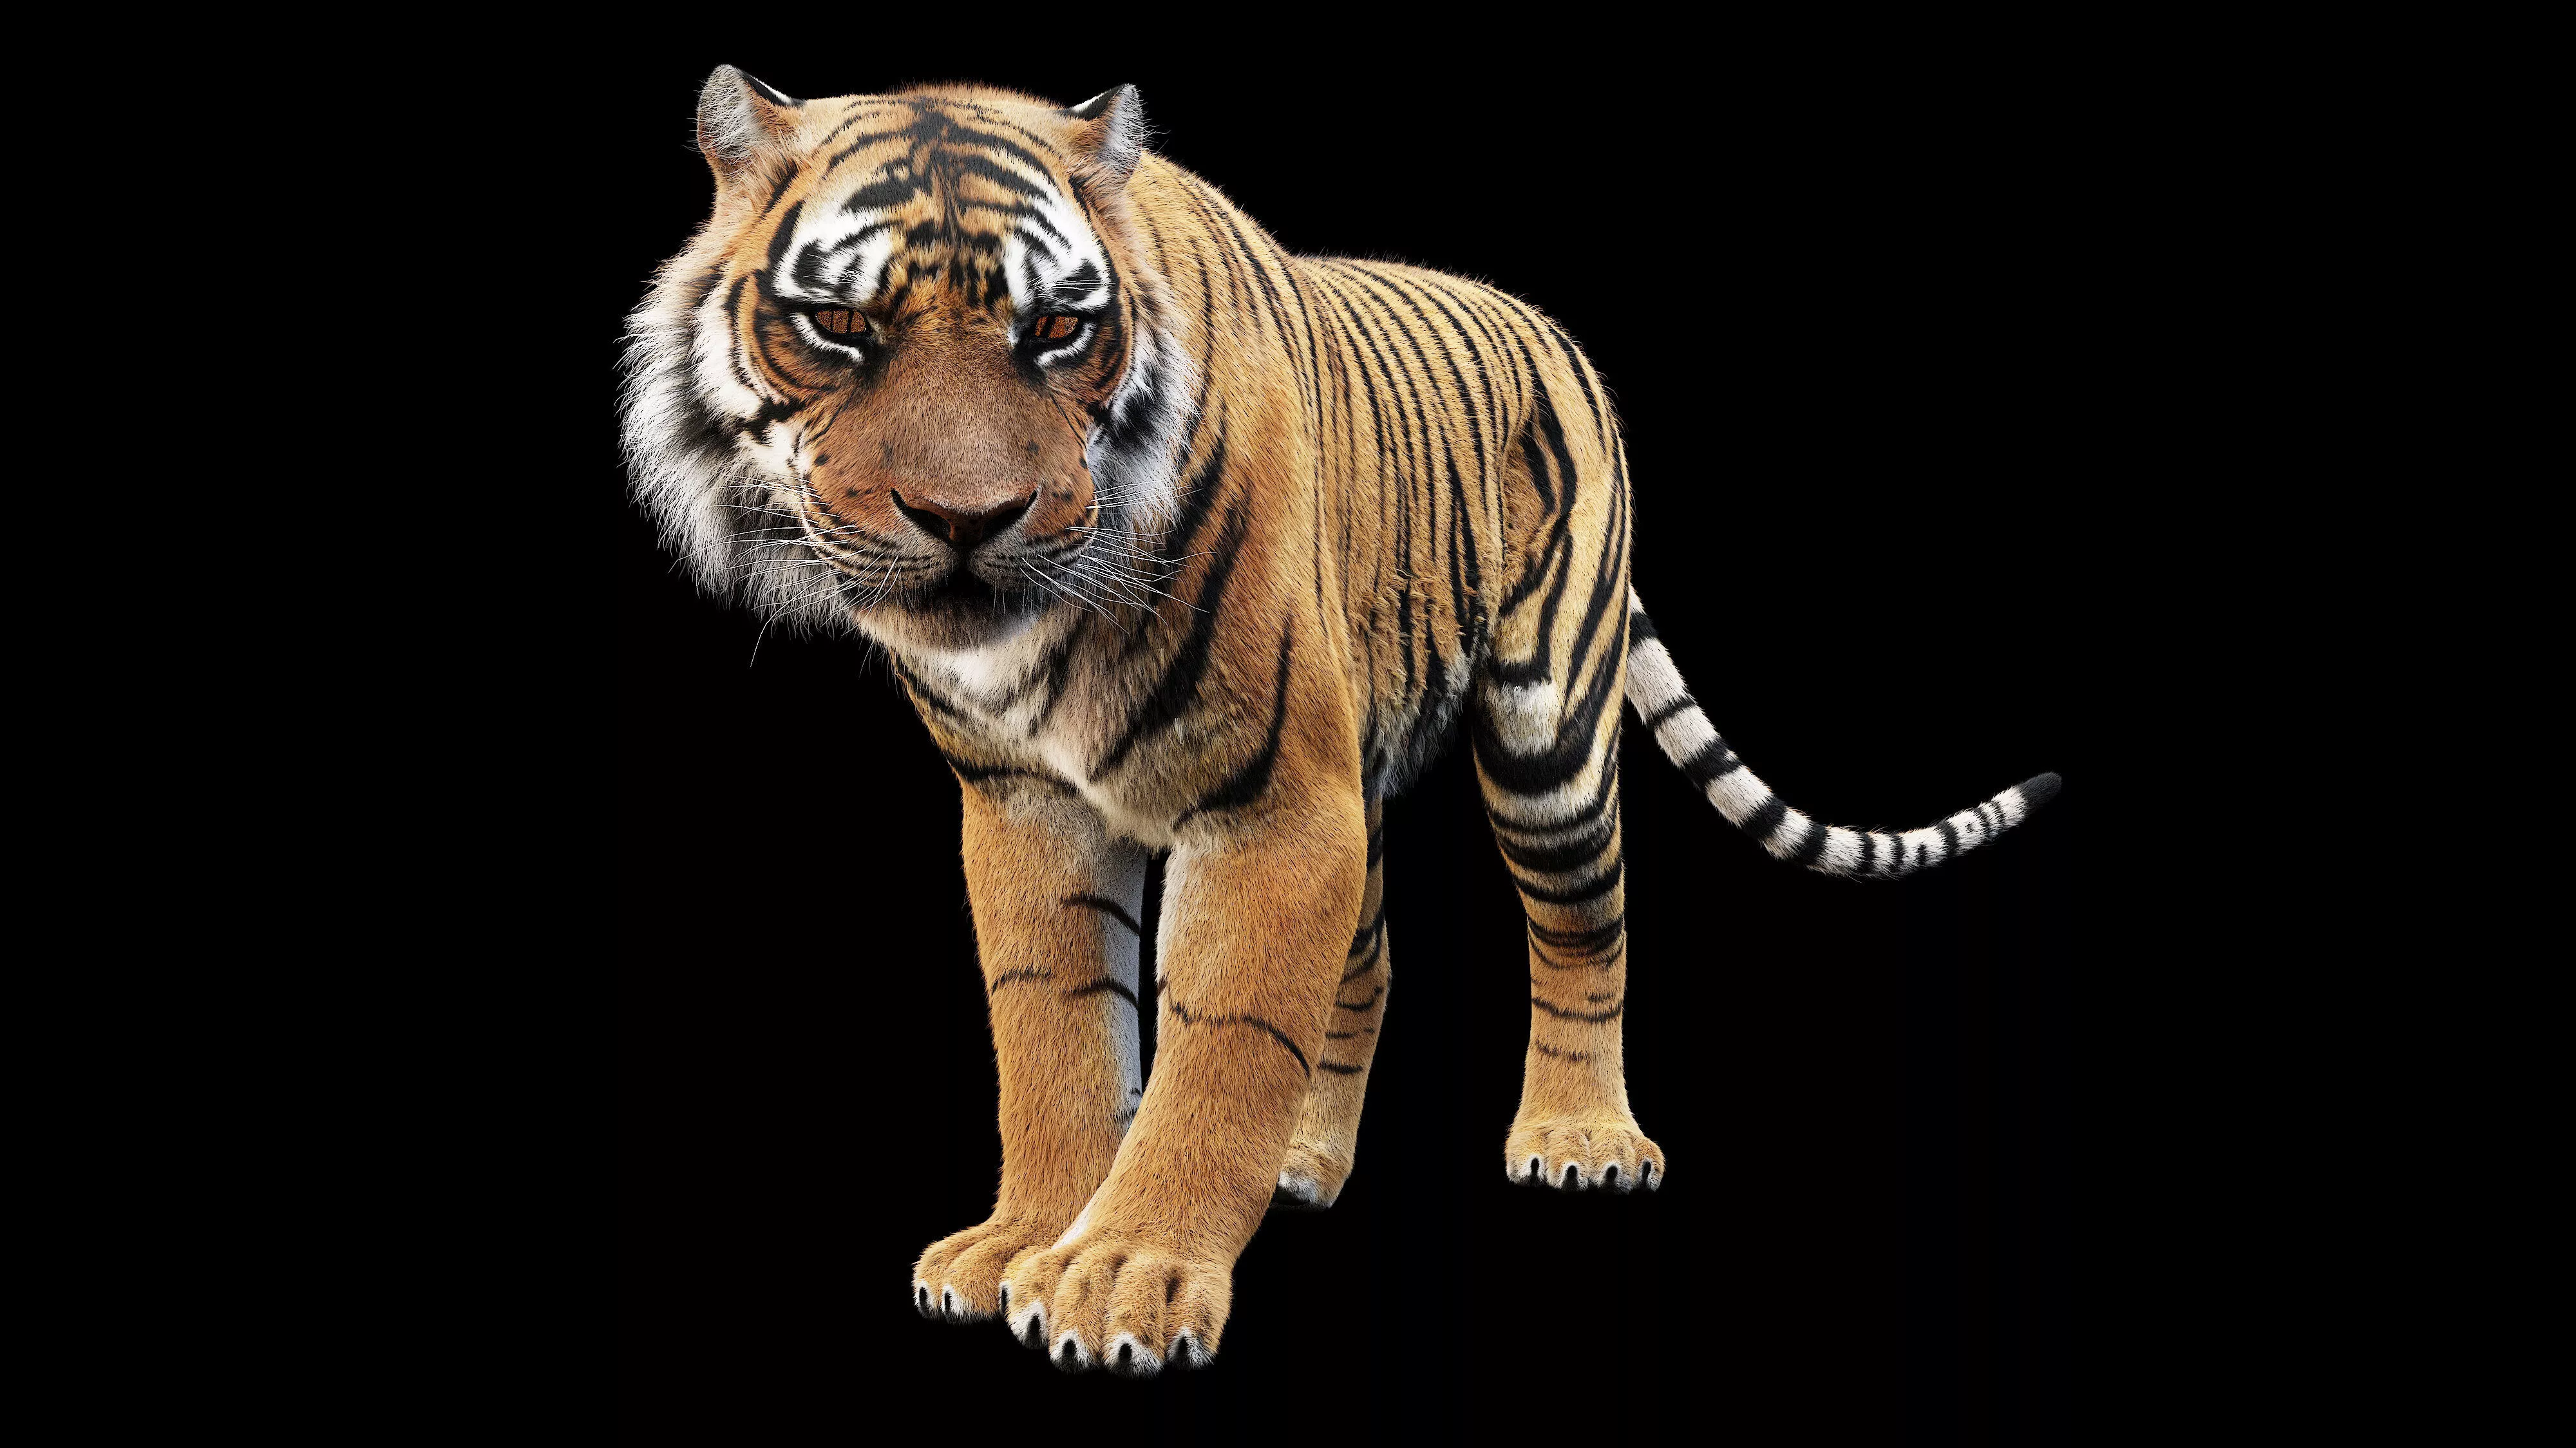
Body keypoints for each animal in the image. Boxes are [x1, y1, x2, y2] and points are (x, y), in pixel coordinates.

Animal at [621, 67, 2061, 1377]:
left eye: (1057, 329)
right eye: (834, 324)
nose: (969, 518)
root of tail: (1547, 327)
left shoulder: (1271, 809)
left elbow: (1219, 1045)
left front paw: (1125, 1273)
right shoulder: (1029, 803)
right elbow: (1055, 1031)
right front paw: (1025, 1237)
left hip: (1543, 727)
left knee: (1584, 922)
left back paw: (1580, 1136)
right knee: (1365, 958)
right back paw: (1306, 1160)